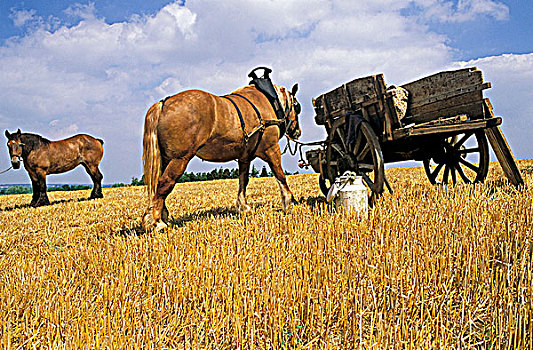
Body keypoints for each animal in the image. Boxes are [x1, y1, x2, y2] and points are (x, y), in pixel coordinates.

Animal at [142, 81, 300, 231]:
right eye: (297, 106)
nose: (297, 132)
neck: (267, 102)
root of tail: (163, 104)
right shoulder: (271, 149)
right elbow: (280, 175)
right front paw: (289, 203)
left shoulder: (244, 157)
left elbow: (243, 181)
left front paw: (243, 207)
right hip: (179, 159)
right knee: (165, 183)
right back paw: (156, 222)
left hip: (166, 159)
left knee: (159, 184)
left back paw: (162, 217)